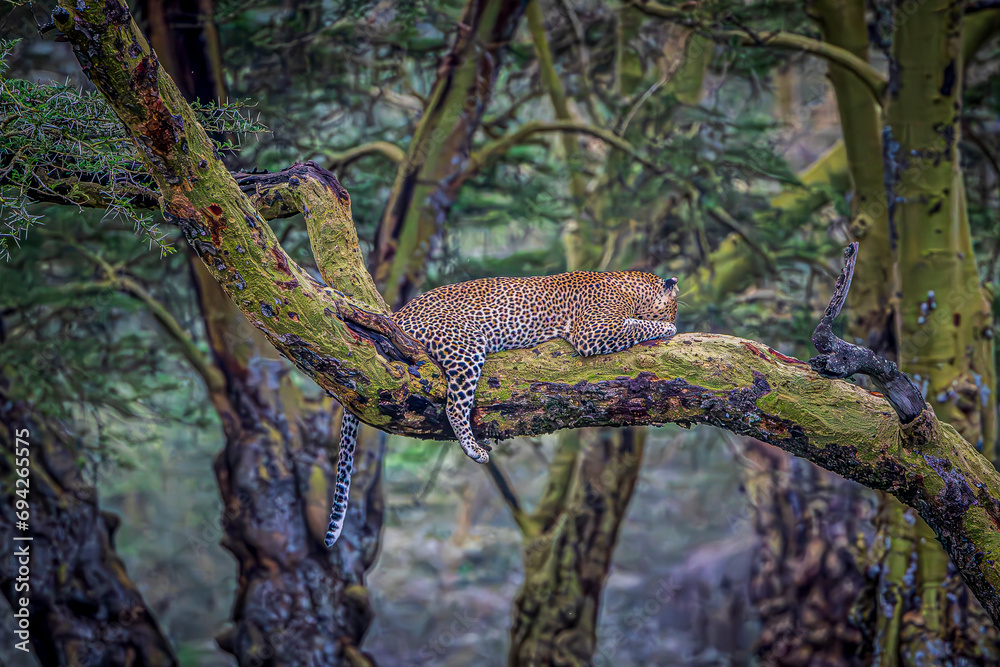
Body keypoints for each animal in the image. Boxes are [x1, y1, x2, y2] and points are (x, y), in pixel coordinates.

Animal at [325, 270, 679, 547]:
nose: (675, 319)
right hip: (465, 347)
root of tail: (398, 315)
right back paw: (474, 449)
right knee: (454, 406)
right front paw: (667, 329)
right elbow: (637, 325)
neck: (631, 287)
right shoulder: (596, 330)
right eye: (674, 309)